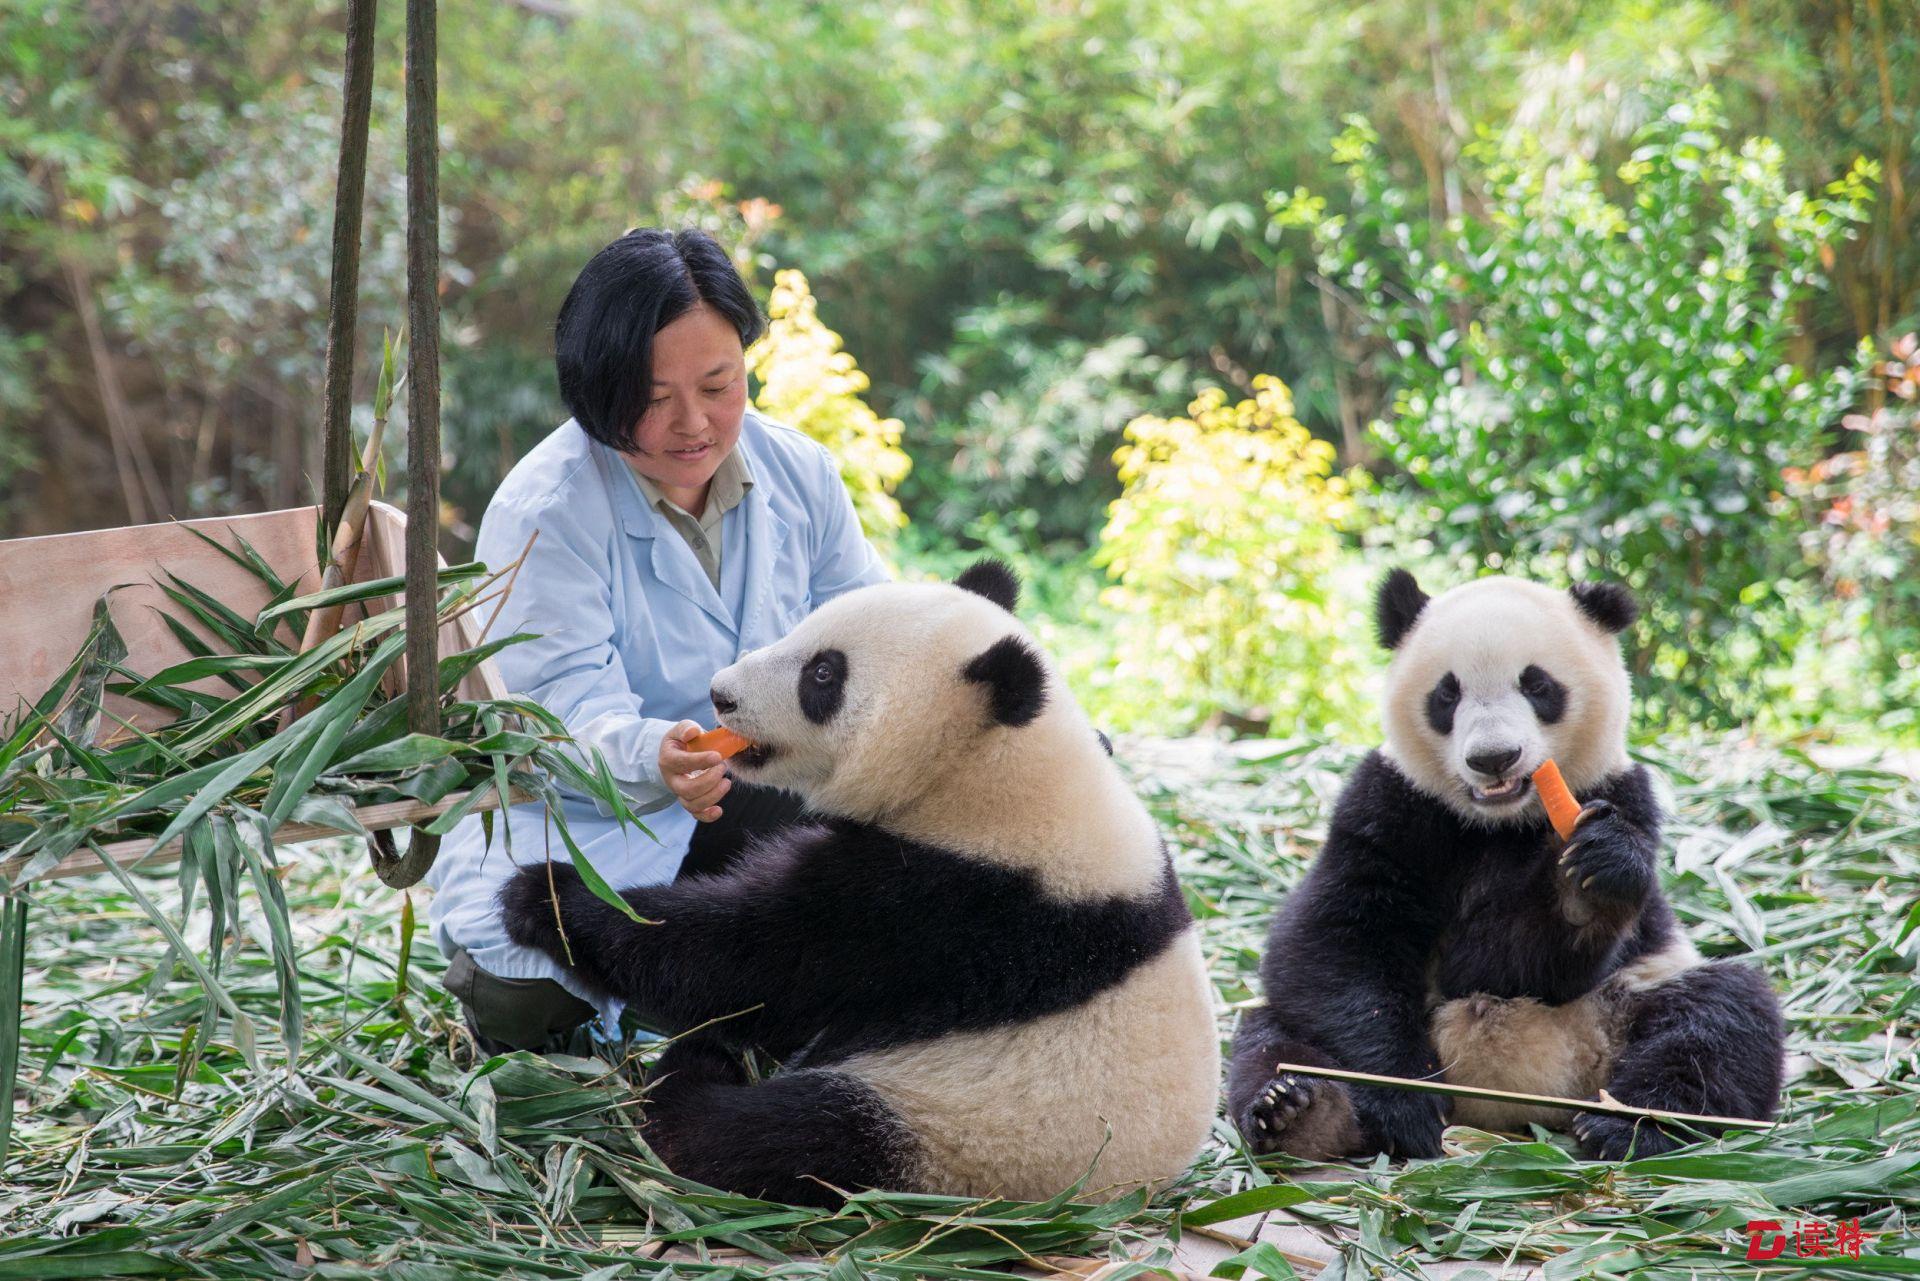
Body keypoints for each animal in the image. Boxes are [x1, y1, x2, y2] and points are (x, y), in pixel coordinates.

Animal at [495, 556, 1213, 1206]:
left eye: (823, 674)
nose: (722, 693)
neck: (997, 772)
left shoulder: (950, 905)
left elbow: (748, 962)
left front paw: (545, 897)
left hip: (954, 1128)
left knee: (781, 1137)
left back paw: (696, 1077)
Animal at [1228, 572, 1781, 1160]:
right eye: (1447, 693)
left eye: (1538, 686)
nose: (1493, 758)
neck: (1498, 820)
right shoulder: (1388, 809)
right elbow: (1336, 942)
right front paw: (1405, 1102)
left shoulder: (1623, 795)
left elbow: (1532, 965)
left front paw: (1588, 885)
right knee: (1270, 1035)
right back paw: (1299, 1110)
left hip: (1637, 993)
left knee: (1722, 1021)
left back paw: (1627, 1125)